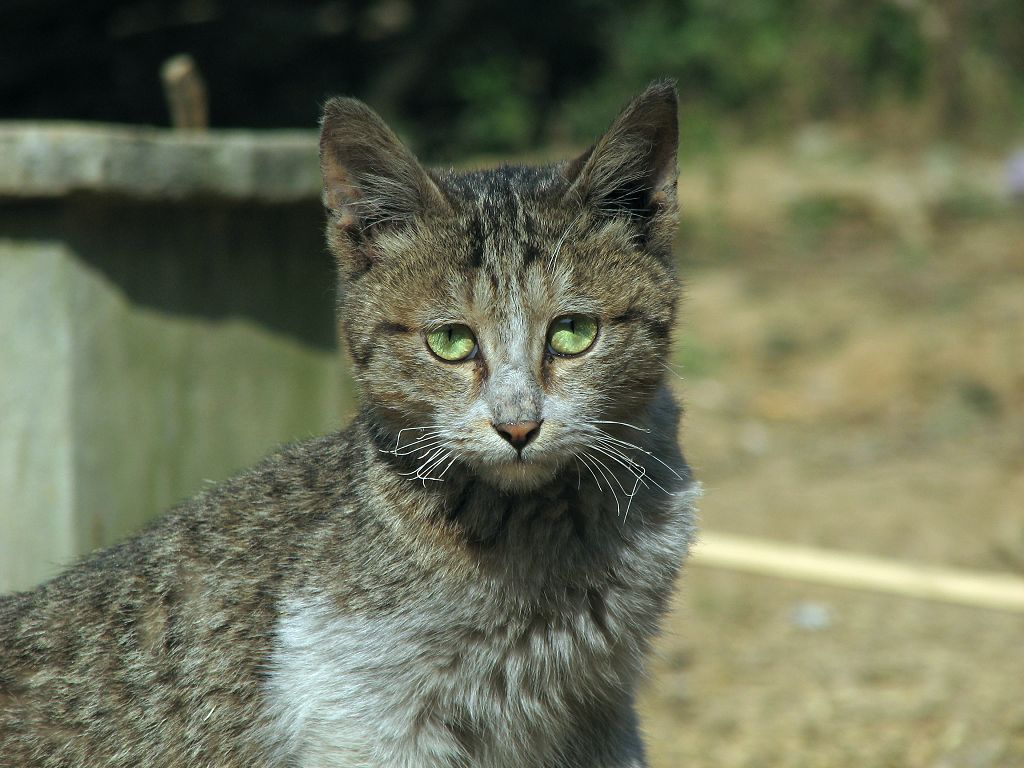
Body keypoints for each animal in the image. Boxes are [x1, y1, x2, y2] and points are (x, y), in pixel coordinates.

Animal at [0, 79, 696, 768]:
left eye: (573, 332)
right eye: (450, 342)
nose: (518, 426)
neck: (545, 545)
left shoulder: (601, 717)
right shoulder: (365, 724)